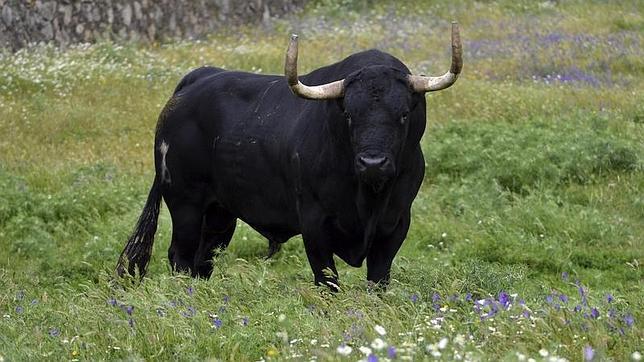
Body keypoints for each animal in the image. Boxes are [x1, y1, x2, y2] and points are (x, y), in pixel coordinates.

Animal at [115, 22, 462, 290]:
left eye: (403, 114)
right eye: (349, 114)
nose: (373, 164)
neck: (368, 198)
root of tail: (195, 80)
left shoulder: (396, 224)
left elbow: (378, 281)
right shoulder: (314, 223)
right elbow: (327, 281)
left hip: (219, 213)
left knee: (204, 260)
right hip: (185, 203)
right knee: (181, 258)